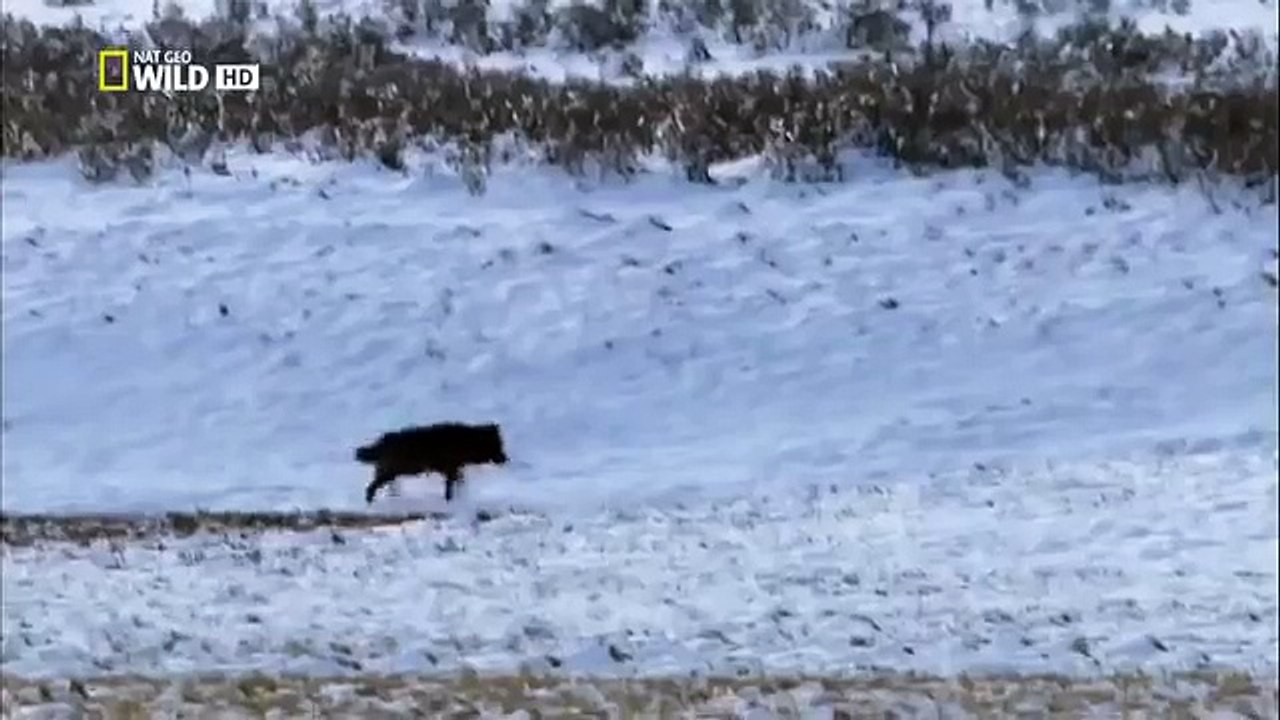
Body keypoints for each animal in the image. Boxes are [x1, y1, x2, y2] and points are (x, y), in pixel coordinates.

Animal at [356, 422, 509, 504]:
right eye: (497, 445)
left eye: (501, 444)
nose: (506, 459)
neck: (464, 442)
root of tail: (380, 443)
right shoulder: (451, 469)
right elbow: (449, 487)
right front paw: (449, 500)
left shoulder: (456, 469)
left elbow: (459, 483)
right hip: (388, 473)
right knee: (370, 488)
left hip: (390, 474)